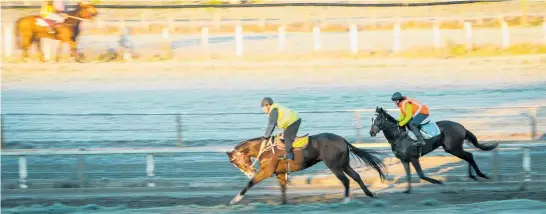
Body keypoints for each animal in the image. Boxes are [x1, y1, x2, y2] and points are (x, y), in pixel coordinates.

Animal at [225, 133, 386, 205]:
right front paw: (283, 204)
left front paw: (235, 199)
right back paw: (370, 193)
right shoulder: (280, 173)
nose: (248, 172)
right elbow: (283, 188)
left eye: (235, 162)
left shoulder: (266, 172)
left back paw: (346, 199)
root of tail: (342, 139)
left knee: (346, 180)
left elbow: (250, 184)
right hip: (344, 164)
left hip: (334, 166)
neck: (265, 149)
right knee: (356, 176)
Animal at [366, 108, 498, 193]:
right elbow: (408, 175)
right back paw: (473, 175)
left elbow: (421, 175)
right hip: (453, 149)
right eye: (371, 119)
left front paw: (438, 182)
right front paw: (408, 190)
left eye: (378, 119)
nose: (371, 133)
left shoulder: (414, 158)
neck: (399, 136)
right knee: (468, 156)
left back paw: (480, 174)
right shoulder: (404, 160)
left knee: (469, 156)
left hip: (453, 148)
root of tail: (462, 127)